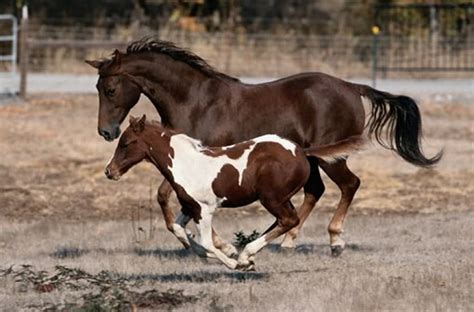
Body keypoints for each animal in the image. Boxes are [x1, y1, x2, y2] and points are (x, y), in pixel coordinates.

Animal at [86, 37, 440, 256]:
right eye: (98, 88)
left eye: (111, 89)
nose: (105, 131)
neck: (195, 102)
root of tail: (353, 87)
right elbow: (180, 206)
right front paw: (207, 244)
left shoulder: (195, 163)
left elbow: (166, 197)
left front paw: (210, 245)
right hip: (312, 160)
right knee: (314, 192)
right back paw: (285, 242)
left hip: (331, 158)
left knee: (348, 185)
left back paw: (334, 240)